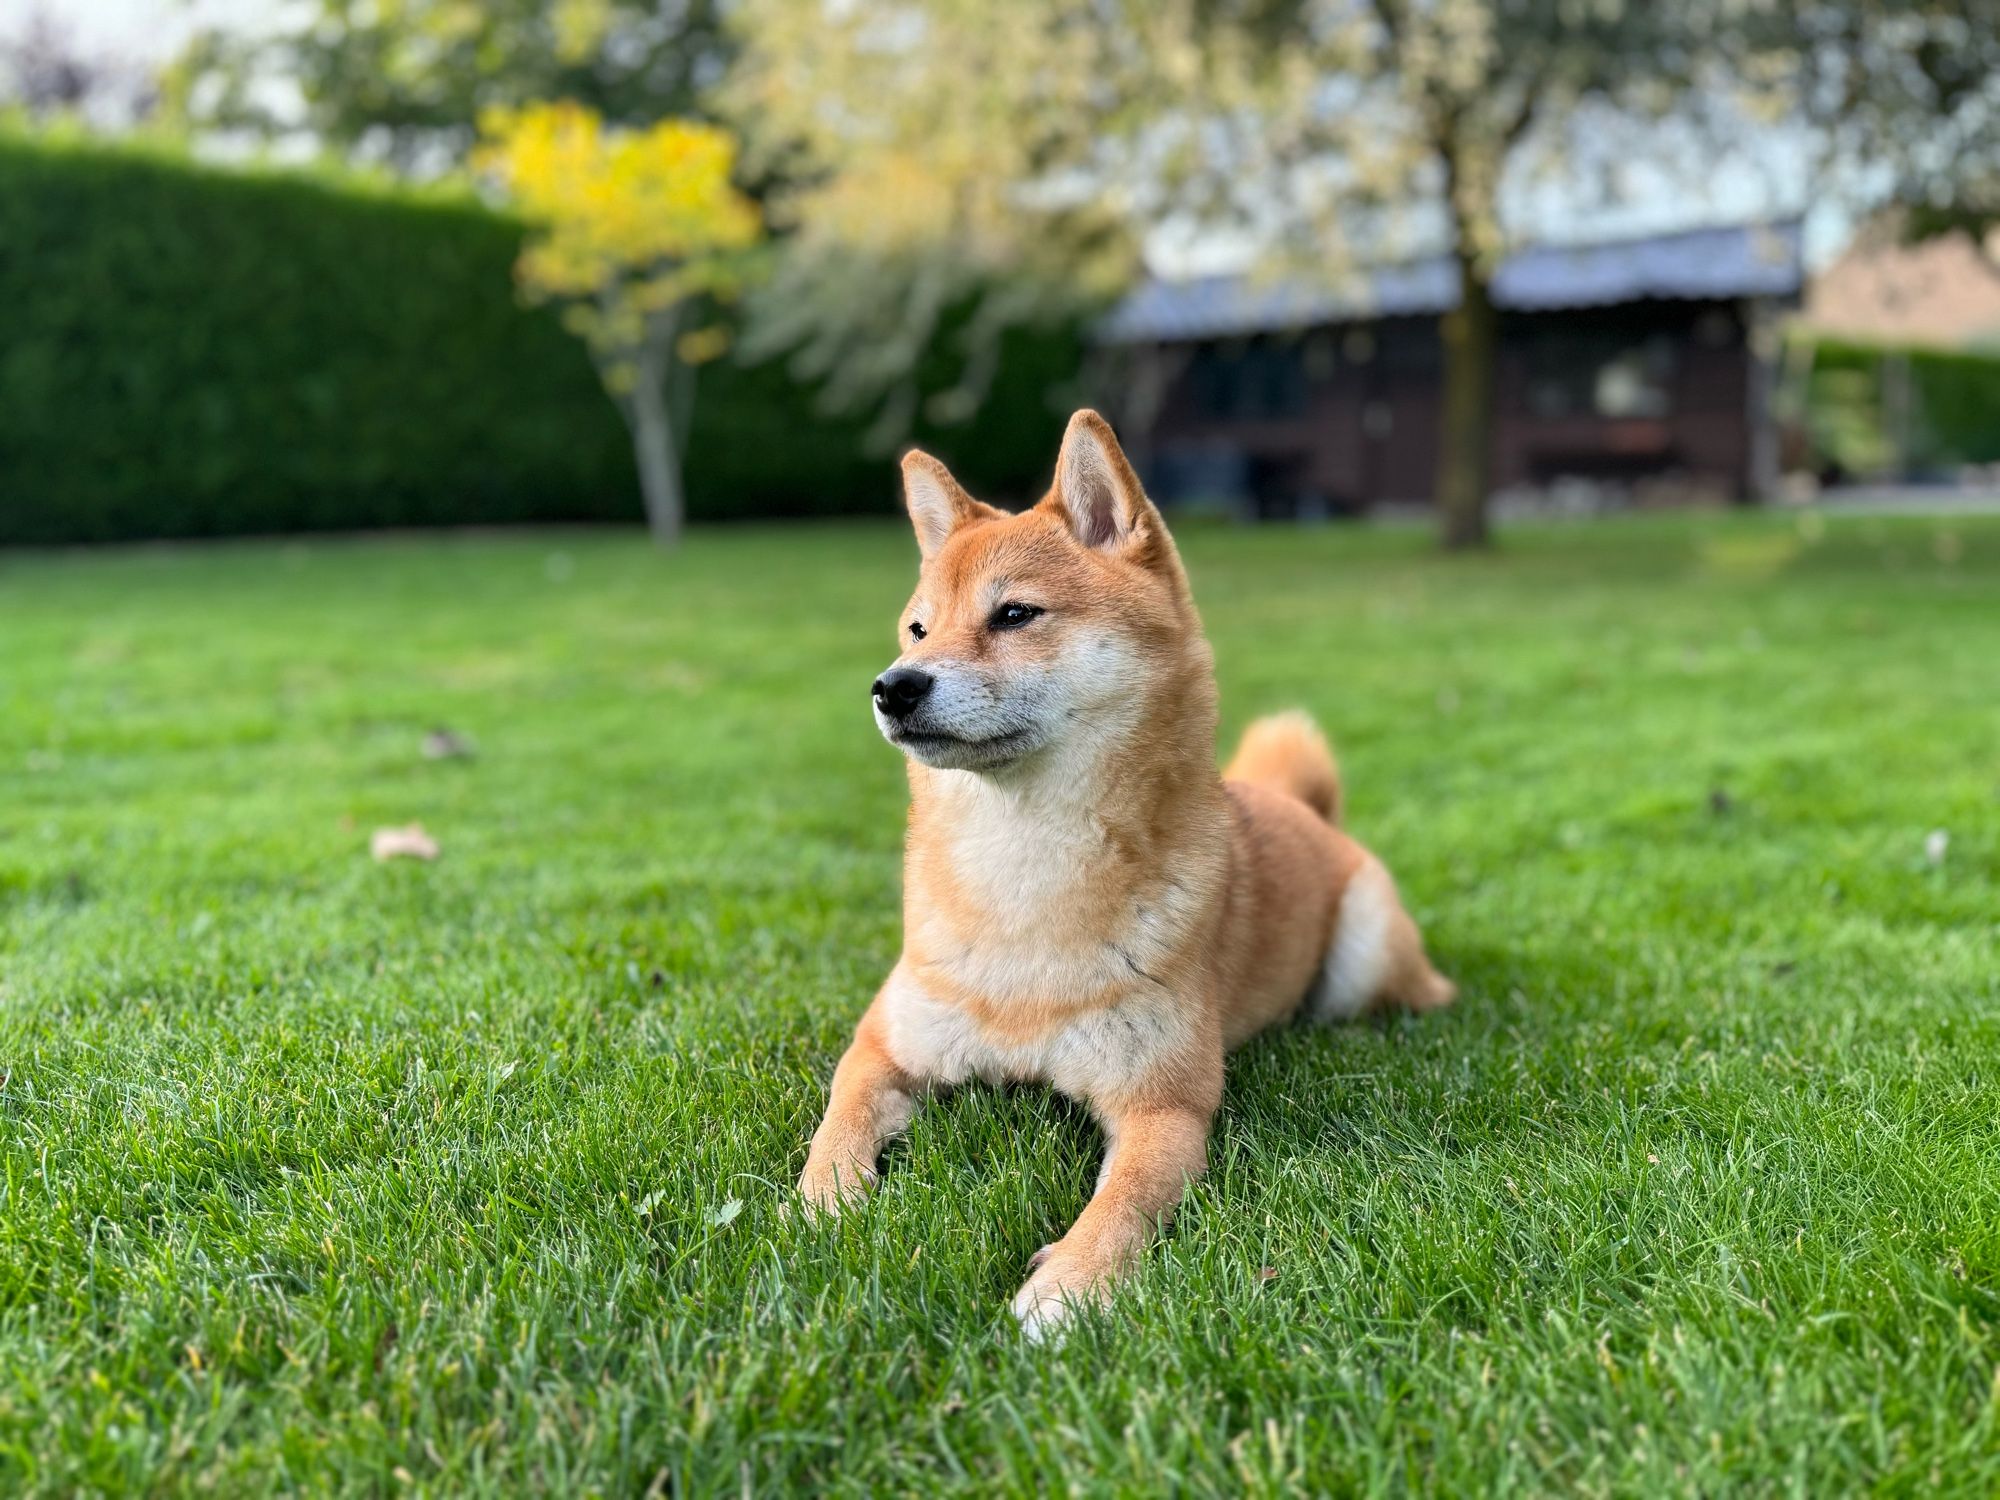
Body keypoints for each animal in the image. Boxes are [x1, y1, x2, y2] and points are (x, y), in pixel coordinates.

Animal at [796, 412, 1456, 1336]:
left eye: (1015, 614)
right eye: (918, 630)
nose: (894, 687)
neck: (1021, 885)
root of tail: (1300, 805)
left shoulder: (1163, 1109)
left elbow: (1125, 1203)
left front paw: (1067, 1288)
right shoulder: (885, 1046)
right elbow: (837, 1125)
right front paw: (822, 1208)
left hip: (1362, 955)